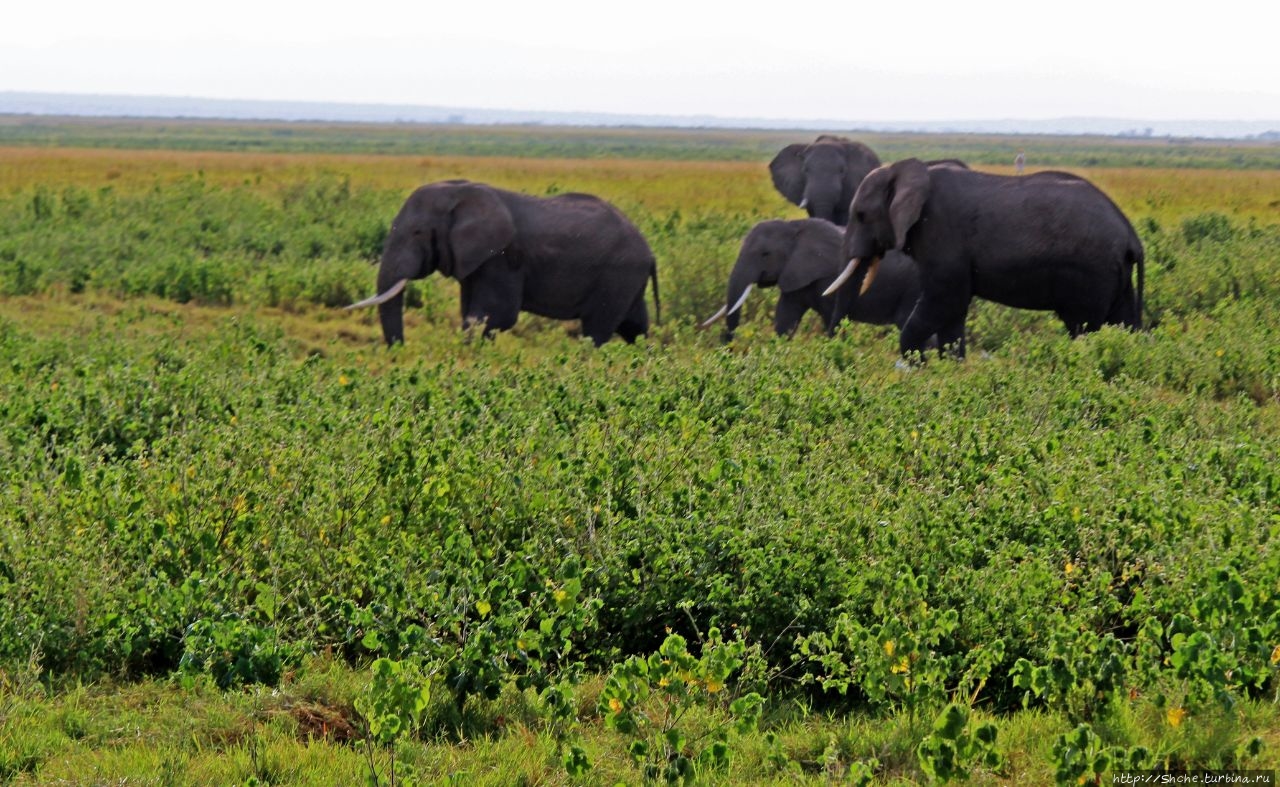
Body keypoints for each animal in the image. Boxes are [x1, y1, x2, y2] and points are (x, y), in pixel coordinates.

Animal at [348, 182, 660, 350]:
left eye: (417, 233)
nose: (400, 350)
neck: (458, 191)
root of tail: (650, 252)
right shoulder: (476, 261)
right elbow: (474, 313)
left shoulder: (502, 258)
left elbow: (495, 316)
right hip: (627, 280)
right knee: (635, 328)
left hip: (618, 275)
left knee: (597, 330)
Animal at [701, 218, 921, 342]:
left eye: (765, 254)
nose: (727, 344)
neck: (793, 228)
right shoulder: (794, 275)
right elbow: (785, 318)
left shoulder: (829, 277)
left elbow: (832, 318)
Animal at [824, 159, 1146, 360]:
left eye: (861, 215)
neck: (906, 170)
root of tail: (1131, 236)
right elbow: (953, 313)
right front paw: (947, 370)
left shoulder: (942, 234)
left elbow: (945, 302)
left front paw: (919, 366)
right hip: (1115, 275)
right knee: (1122, 324)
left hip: (1091, 274)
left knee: (1084, 328)